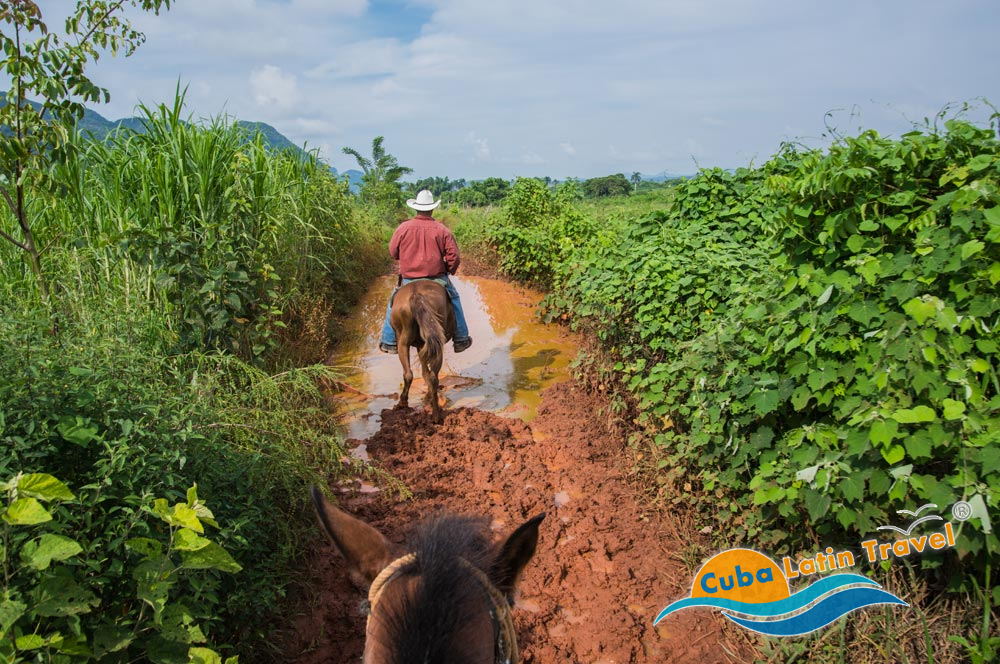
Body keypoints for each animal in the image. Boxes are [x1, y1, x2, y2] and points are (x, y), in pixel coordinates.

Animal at [388, 278, 456, 422]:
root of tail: (416, 295)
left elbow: (424, 372)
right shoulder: (422, 345)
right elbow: (425, 372)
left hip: (402, 341)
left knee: (409, 374)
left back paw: (403, 403)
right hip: (435, 343)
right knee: (432, 377)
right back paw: (435, 415)